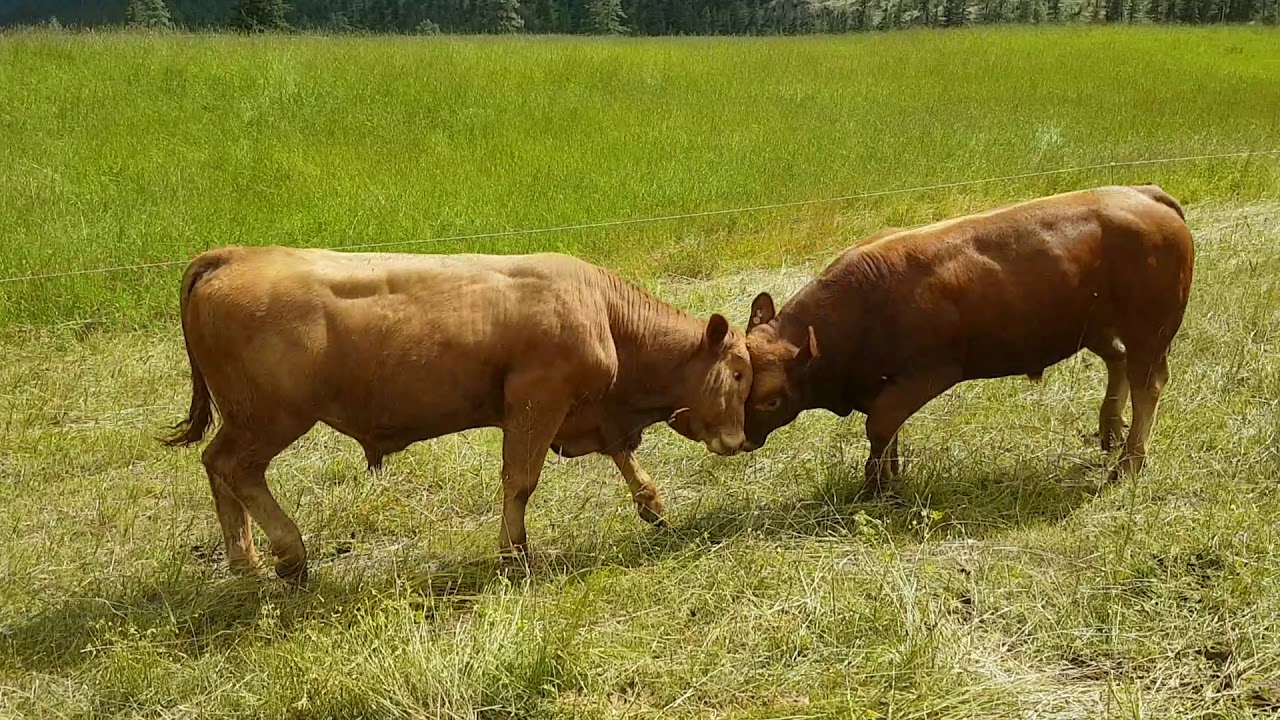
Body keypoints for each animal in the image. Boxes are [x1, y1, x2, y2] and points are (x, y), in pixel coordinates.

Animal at [163, 247, 751, 582]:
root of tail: (233, 254)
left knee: (217, 467)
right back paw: (289, 554)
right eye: (740, 373)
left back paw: (245, 560)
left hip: (250, 420)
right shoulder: (537, 402)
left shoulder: (589, 412)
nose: (741, 440)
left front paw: (651, 502)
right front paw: (514, 554)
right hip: (270, 417)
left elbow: (621, 455)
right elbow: (520, 481)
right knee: (235, 469)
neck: (603, 311)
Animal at [741, 184, 1195, 496]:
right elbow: (888, 430)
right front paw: (890, 473)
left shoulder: (929, 371)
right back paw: (1109, 431)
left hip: (1149, 330)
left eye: (770, 400)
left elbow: (880, 424)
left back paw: (1129, 463)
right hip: (1094, 327)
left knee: (1147, 385)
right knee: (1117, 362)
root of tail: (1143, 192)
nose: (740, 439)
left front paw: (876, 486)